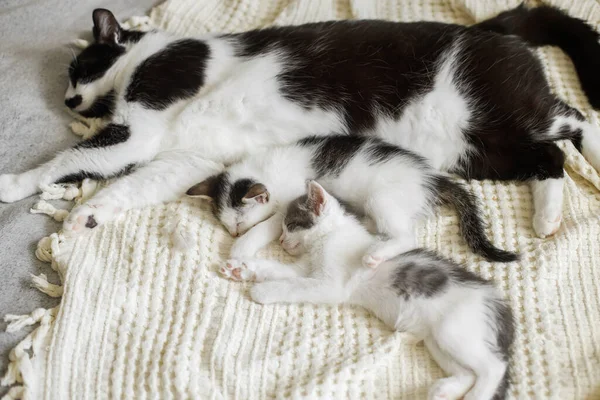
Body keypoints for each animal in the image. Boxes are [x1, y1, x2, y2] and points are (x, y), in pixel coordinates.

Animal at [1, 5, 600, 241]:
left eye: (80, 68)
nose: (69, 99)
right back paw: (547, 217)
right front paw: (89, 216)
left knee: (574, 119)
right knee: (548, 158)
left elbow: (70, 159)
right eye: (68, 79)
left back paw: (594, 152)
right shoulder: (186, 156)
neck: (147, 57)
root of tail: (492, 27)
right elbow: (132, 184)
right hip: (474, 148)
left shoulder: (143, 117)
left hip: (499, 109)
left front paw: (14, 183)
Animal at [188, 135, 516, 268]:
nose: (233, 233)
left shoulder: (292, 197)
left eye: (240, 222)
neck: (265, 168)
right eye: (226, 225)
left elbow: (271, 223)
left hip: (382, 197)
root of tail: (432, 179)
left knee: (406, 236)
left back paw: (377, 253)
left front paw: (242, 247)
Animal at [220, 181, 516, 400]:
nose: (281, 240)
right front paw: (241, 269)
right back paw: (444, 390)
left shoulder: (330, 285)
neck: (329, 238)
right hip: (438, 341)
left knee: (494, 367)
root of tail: (498, 303)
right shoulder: (304, 269)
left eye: (291, 225)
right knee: (469, 371)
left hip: (453, 330)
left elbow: (293, 286)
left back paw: (476, 395)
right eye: (282, 228)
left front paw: (263, 291)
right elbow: (278, 269)